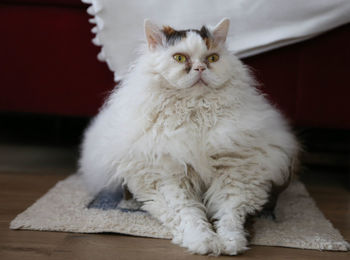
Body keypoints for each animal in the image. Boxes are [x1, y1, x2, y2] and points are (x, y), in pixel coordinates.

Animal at [79, 18, 298, 256]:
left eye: (212, 58)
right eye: (179, 58)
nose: (200, 68)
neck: (195, 113)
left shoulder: (234, 173)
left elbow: (229, 215)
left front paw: (230, 243)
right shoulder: (168, 177)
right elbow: (188, 215)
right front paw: (203, 242)